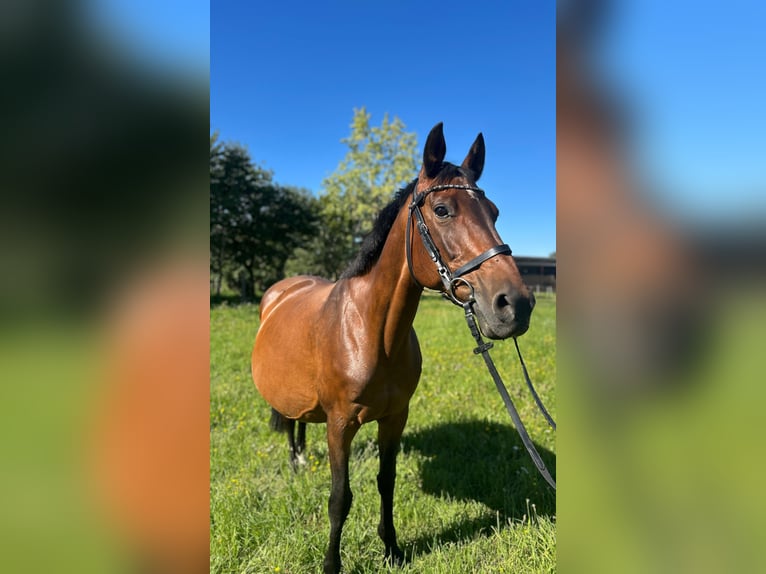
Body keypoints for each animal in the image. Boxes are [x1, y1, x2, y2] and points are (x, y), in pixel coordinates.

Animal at [251, 122, 535, 573]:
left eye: (493, 212)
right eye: (442, 210)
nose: (516, 304)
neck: (371, 334)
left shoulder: (395, 417)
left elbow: (387, 482)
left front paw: (393, 550)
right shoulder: (339, 424)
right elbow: (340, 498)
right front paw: (332, 564)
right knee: (291, 422)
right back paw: (297, 463)